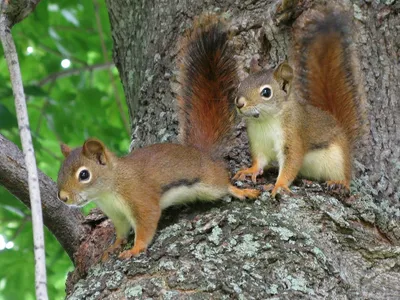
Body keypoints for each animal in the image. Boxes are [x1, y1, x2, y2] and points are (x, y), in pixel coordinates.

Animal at [56, 15, 260, 260]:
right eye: (60, 171)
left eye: (84, 174)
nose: (63, 198)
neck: (109, 189)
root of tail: (201, 152)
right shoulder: (117, 215)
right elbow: (121, 232)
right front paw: (115, 246)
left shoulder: (140, 199)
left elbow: (146, 224)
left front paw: (135, 249)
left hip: (209, 183)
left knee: (223, 185)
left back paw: (240, 190)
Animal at [233, 8, 368, 197]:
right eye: (241, 84)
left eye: (266, 92)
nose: (239, 103)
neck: (265, 121)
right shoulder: (259, 143)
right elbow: (259, 160)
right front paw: (250, 170)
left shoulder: (293, 136)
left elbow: (291, 162)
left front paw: (279, 185)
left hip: (339, 159)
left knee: (346, 176)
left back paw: (339, 183)